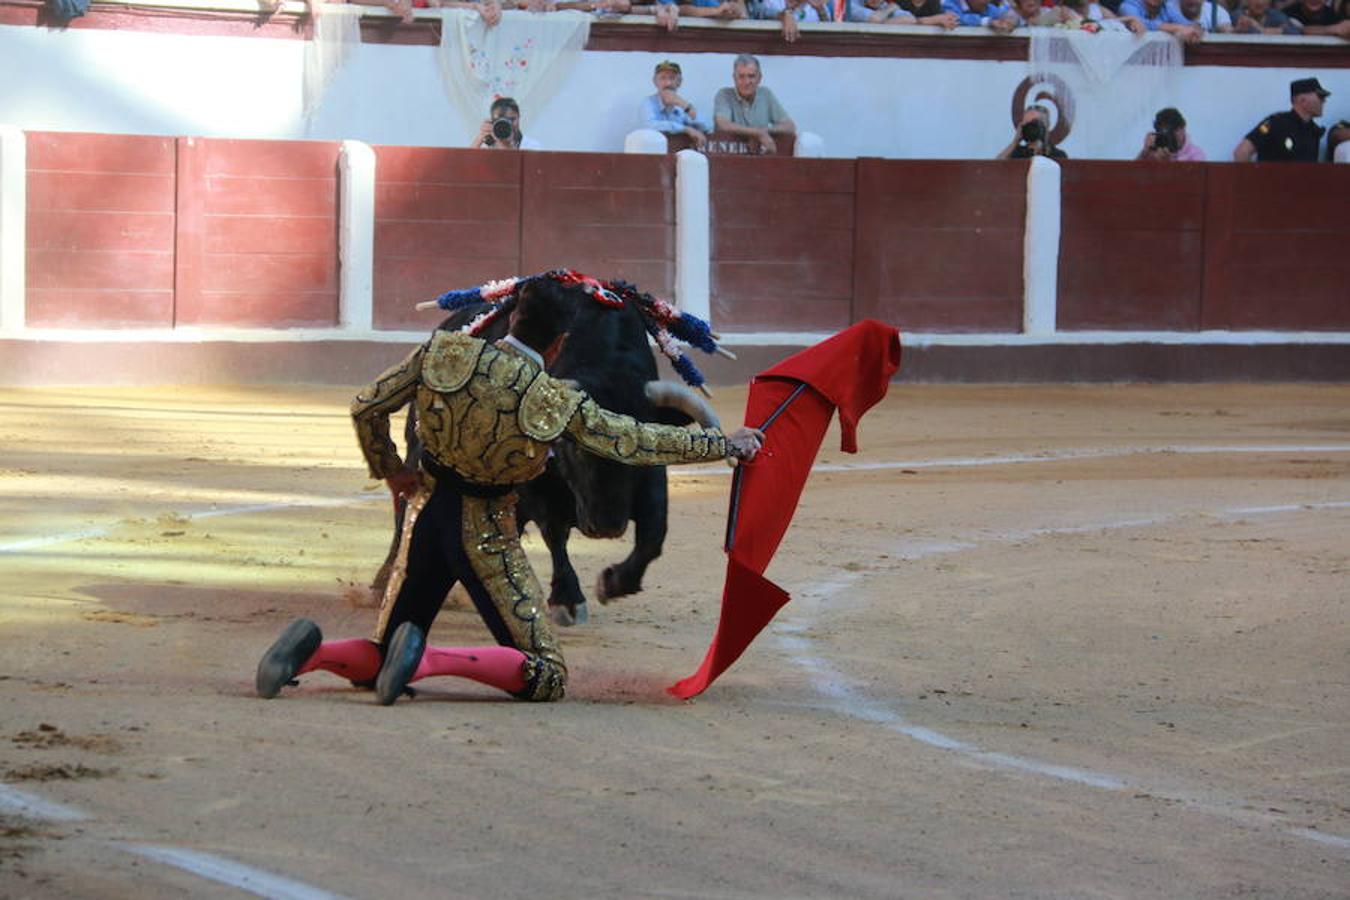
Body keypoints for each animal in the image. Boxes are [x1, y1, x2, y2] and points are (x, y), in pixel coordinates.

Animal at [369, 300, 723, 626]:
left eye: (644, 449)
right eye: (573, 449)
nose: (607, 526)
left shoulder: (652, 482)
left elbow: (653, 536)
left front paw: (613, 584)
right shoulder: (537, 489)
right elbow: (555, 534)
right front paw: (568, 600)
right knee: (406, 513)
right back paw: (385, 581)